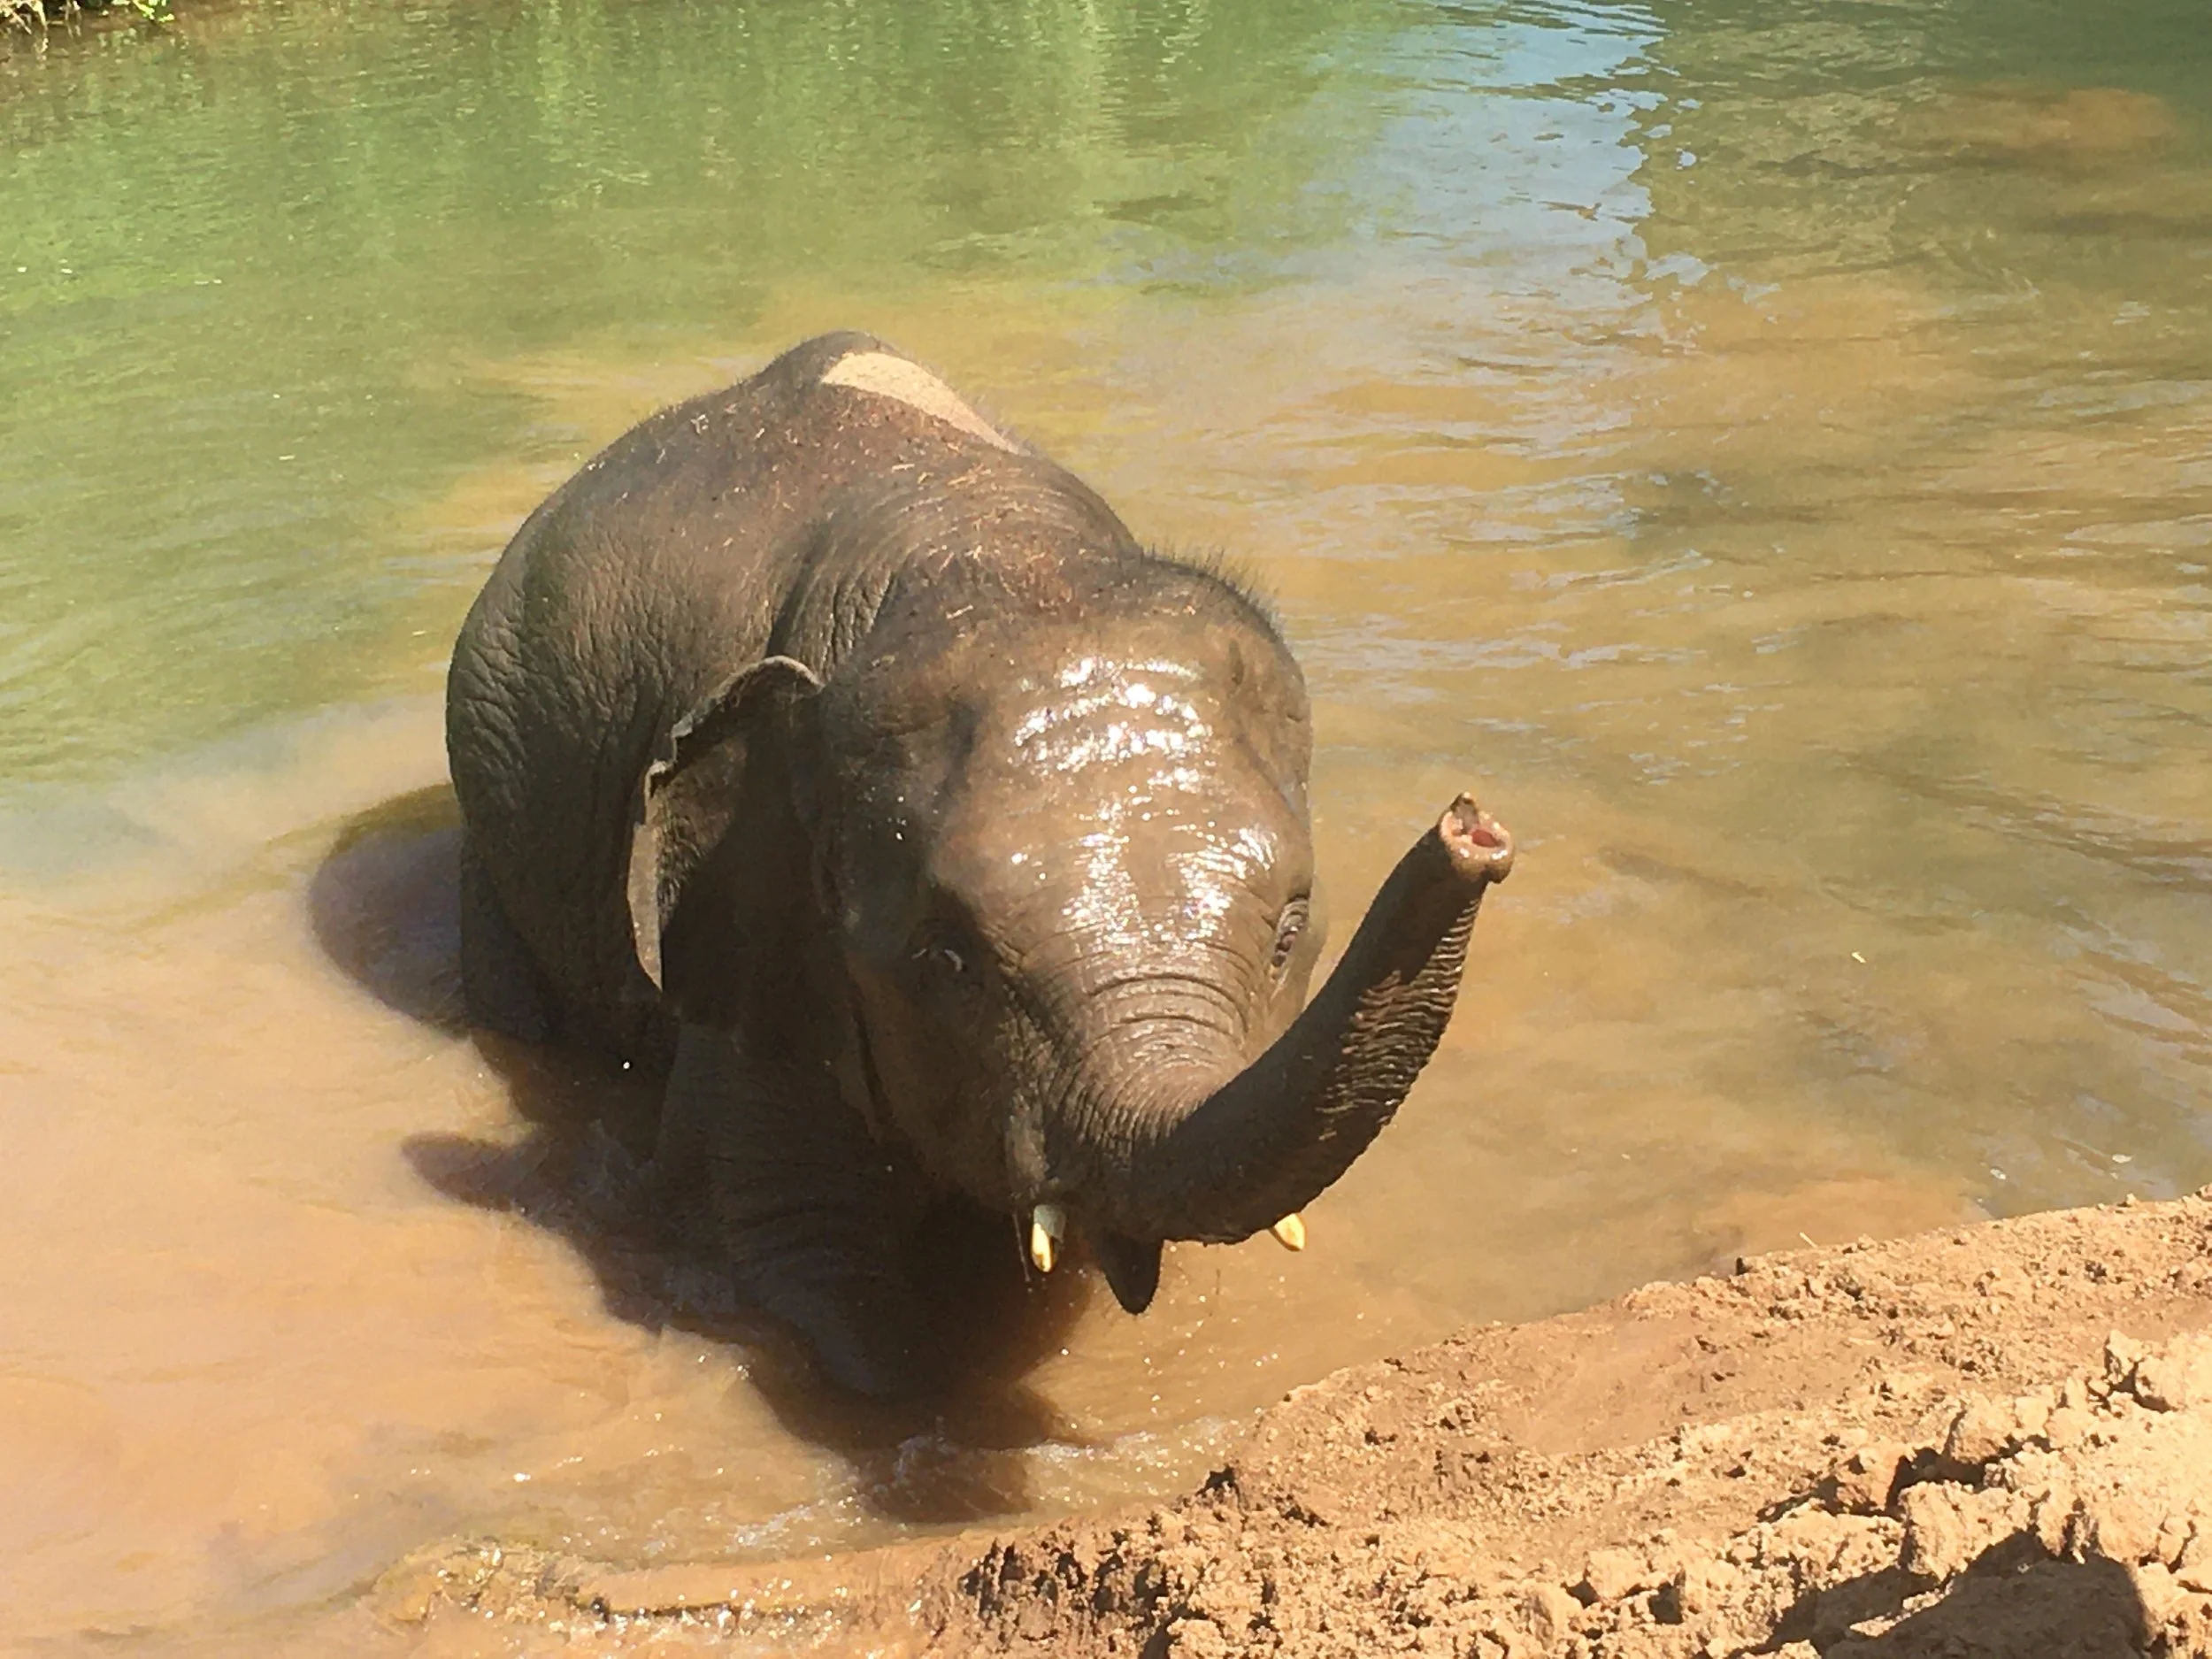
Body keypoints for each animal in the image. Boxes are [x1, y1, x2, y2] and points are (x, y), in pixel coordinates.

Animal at [444, 332, 1514, 1397]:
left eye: (1290, 931)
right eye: (946, 958)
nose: (1472, 831)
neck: (994, 552)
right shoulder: (764, 938)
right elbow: (783, 1242)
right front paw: (925, 1388)